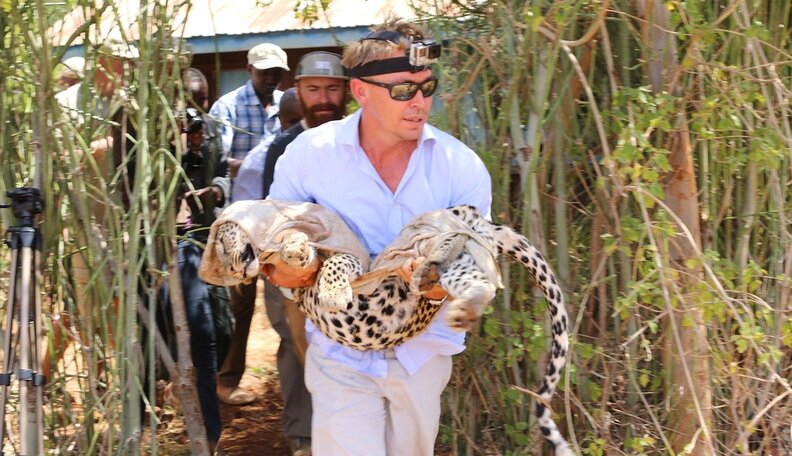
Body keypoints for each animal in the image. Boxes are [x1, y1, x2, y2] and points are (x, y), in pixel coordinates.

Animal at [207, 204, 571, 453]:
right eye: (221, 258)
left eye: (222, 244)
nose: (236, 268)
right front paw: (296, 253)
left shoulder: (345, 257)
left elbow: (328, 260)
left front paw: (315, 270)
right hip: (461, 262)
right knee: (471, 271)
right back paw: (450, 296)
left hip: (437, 230)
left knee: (451, 231)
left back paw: (433, 264)